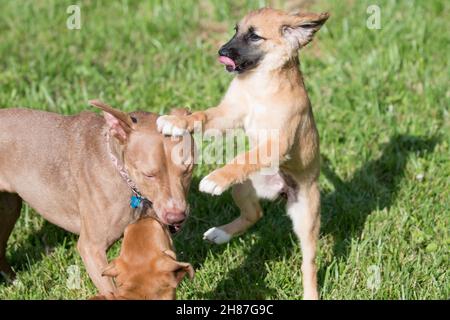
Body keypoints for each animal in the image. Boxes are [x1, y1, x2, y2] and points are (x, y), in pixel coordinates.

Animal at [0, 100, 194, 296]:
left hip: (9, 210)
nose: (176, 216)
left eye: (188, 169)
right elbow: (111, 289)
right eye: (148, 175)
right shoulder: (92, 249)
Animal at [156, 8, 328, 300]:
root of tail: (279, 190)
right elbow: (201, 117)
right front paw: (176, 122)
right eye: (235, 30)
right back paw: (221, 234)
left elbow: (244, 157)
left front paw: (215, 179)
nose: (221, 51)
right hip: (244, 187)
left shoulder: (277, 142)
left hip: (306, 214)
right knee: (254, 214)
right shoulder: (228, 114)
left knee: (309, 263)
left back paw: (310, 293)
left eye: (255, 36)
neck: (260, 85)